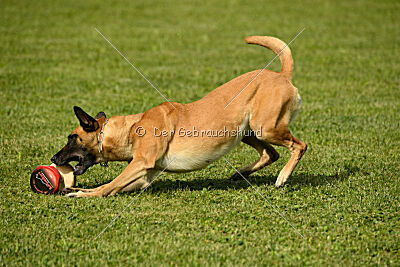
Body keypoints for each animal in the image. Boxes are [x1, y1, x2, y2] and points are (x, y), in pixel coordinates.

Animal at [50, 36, 306, 199]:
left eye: (72, 138)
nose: (53, 158)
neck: (131, 128)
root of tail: (282, 75)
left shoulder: (141, 163)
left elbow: (108, 186)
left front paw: (84, 195)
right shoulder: (144, 175)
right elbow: (110, 186)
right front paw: (80, 191)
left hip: (266, 128)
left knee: (299, 146)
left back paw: (283, 177)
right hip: (246, 132)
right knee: (271, 153)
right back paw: (241, 173)